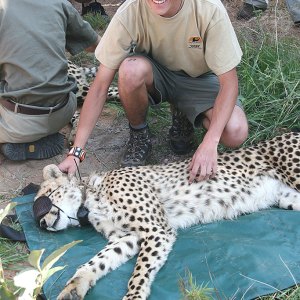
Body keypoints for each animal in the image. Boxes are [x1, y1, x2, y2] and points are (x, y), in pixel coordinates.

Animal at [32, 131, 300, 300]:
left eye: (47, 197)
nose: (43, 224)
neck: (89, 197)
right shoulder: (126, 238)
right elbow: (97, 261)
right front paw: (75, 286)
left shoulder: (156, 230)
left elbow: (139, 272)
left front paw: (133, 296)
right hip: (289, 198)